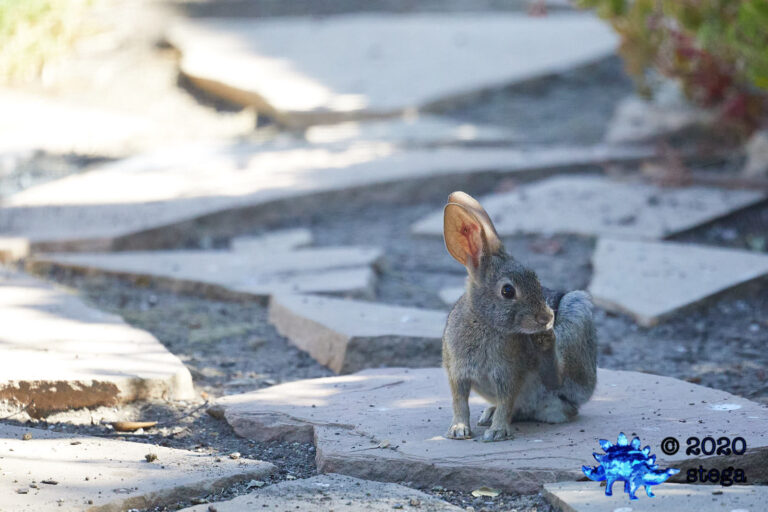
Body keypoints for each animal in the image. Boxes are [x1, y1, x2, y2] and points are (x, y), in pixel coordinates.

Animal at [441, 191, 597, 442]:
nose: (546, 317)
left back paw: (545, 342)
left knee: (557, 382)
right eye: (508, 291)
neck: (484, 321)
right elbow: (460, 402)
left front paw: (497, 432)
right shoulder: (457, 371)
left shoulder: (508, 374)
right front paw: (459, 430)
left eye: (537, 279)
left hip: (577, 319)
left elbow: (506, 402)